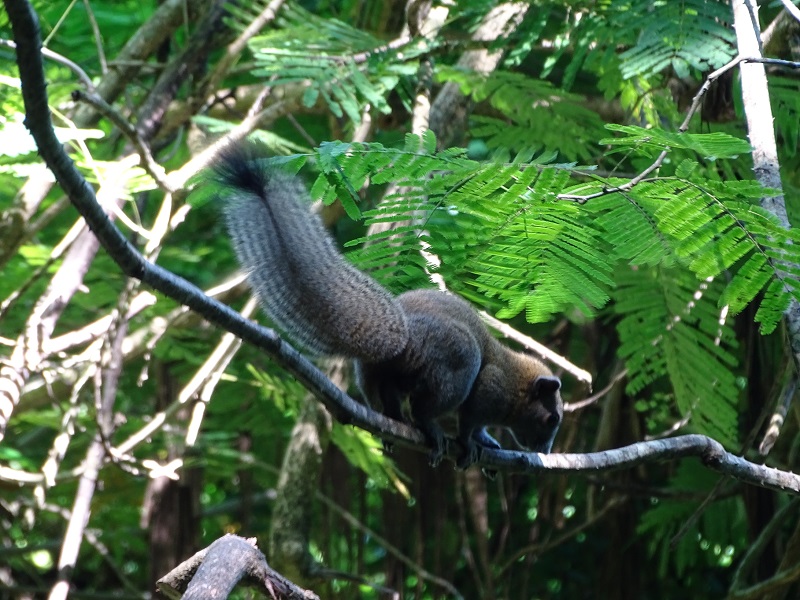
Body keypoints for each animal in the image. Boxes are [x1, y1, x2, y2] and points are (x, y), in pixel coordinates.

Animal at [211, 141, 563, 467]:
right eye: (552, 418)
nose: (546, 452)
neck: (517, 384)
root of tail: (400, 339)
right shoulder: (489, 390)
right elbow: (469, 425)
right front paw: (473, 443)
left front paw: (487, 441)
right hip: (455, 364)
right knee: (423, 409)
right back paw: (430, 430)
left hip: (375, 377)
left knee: (388, 402)